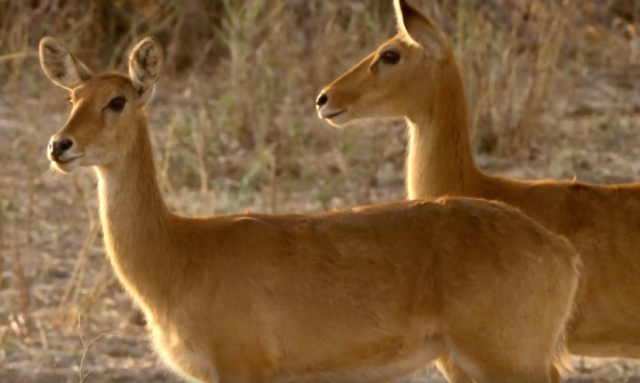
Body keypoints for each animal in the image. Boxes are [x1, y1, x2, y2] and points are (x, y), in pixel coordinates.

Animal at [40, 36, 580, 383]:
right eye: (72, 97)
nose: (59, 146)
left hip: (508, 360)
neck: (180, 255)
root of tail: (561, 252)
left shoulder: (243, 369)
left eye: (117, 100)